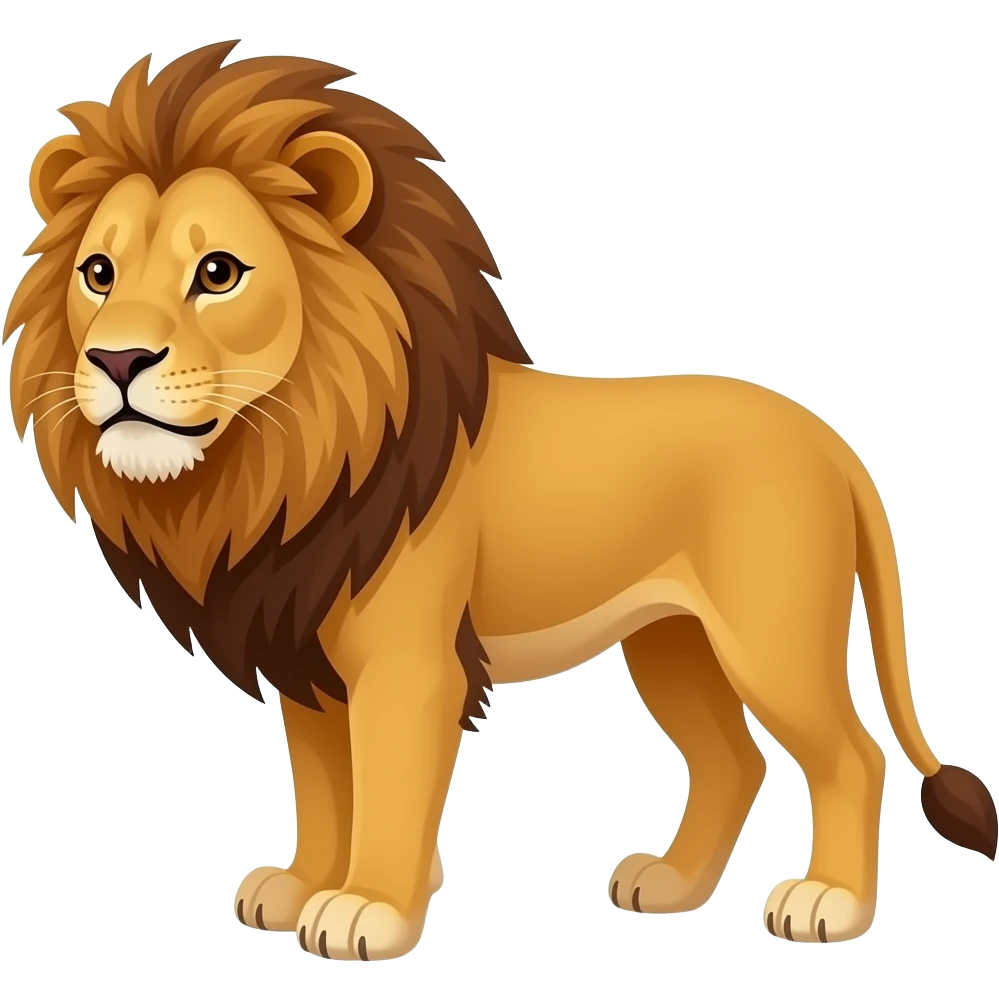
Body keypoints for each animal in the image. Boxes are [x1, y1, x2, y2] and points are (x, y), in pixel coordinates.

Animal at [5, 40, 995, 961]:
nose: (116, 360)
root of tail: (833, 442)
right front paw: (300, 885)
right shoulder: (303, 656)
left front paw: (366, 908)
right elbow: (325, 789)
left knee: (851, 756)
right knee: (733, 760)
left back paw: (828, 902)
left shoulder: (407, 665)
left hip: (770, 636)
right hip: (671, 642)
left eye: (218, 272)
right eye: (98, 272)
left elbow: (388, 790)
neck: (284, 459)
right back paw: (671, 885)